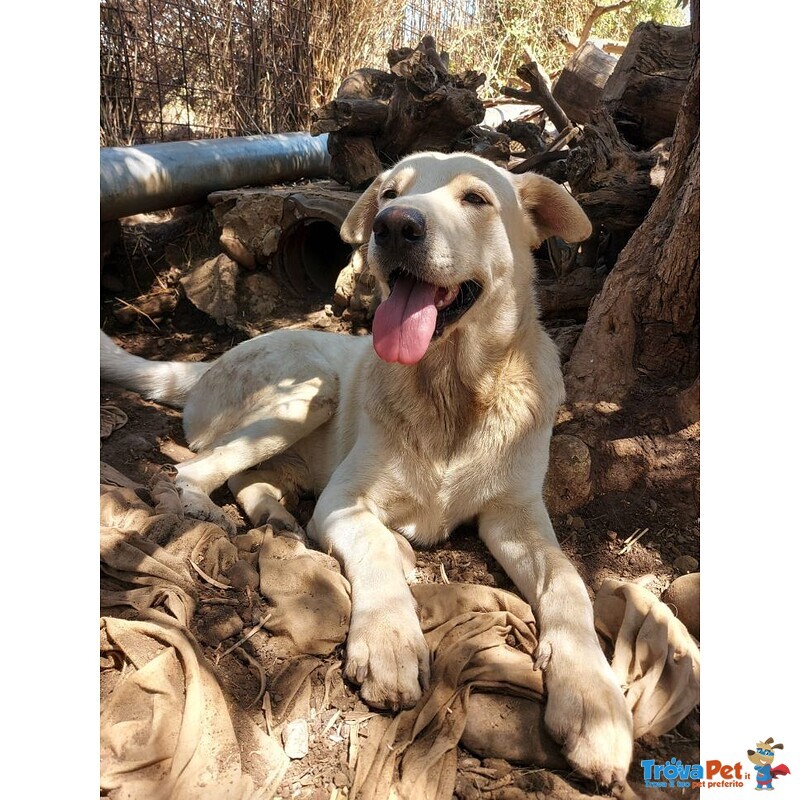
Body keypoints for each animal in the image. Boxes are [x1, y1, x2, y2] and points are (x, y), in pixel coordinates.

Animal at [103, 152, 636, 788]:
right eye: (388, 193)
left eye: (476, 199)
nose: (394, 226)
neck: (450, 393)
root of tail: (206, 365)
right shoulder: (344, 500)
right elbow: (374, 549)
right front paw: (388, 640)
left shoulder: (517, 517)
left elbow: (567, 582)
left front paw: (593, 700)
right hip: (310, 391)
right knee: (193, 470)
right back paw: (212, 512)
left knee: (247, 479)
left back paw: (280, 518)